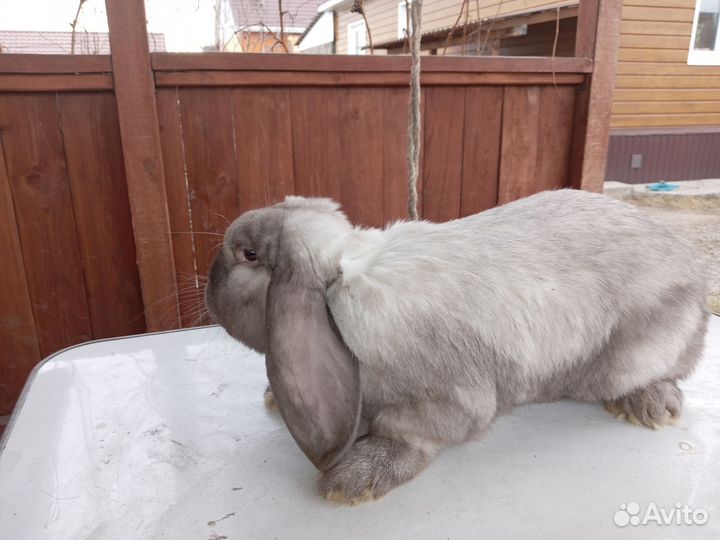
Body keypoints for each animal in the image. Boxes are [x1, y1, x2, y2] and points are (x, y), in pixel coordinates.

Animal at [205, 189, 709, 505]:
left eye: (249, 255)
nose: (207, 289)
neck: (337, 292)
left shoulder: (448, 397)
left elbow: (411, 431)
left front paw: (354, 477)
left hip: (638, 354)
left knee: (665, 375)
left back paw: (648, 406)